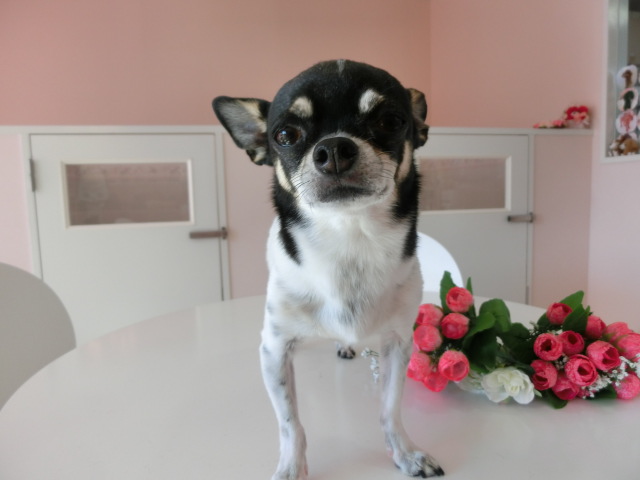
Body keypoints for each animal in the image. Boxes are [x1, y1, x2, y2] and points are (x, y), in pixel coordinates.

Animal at [213, 60, 443, 479]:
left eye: (390, 120)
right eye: (285, 135)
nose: (334, 147)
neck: (349, 241)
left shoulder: (397, 343)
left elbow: (390, 409)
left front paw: (405, 452)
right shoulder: (273, 351)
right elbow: (291, 424)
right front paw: (291, 466)